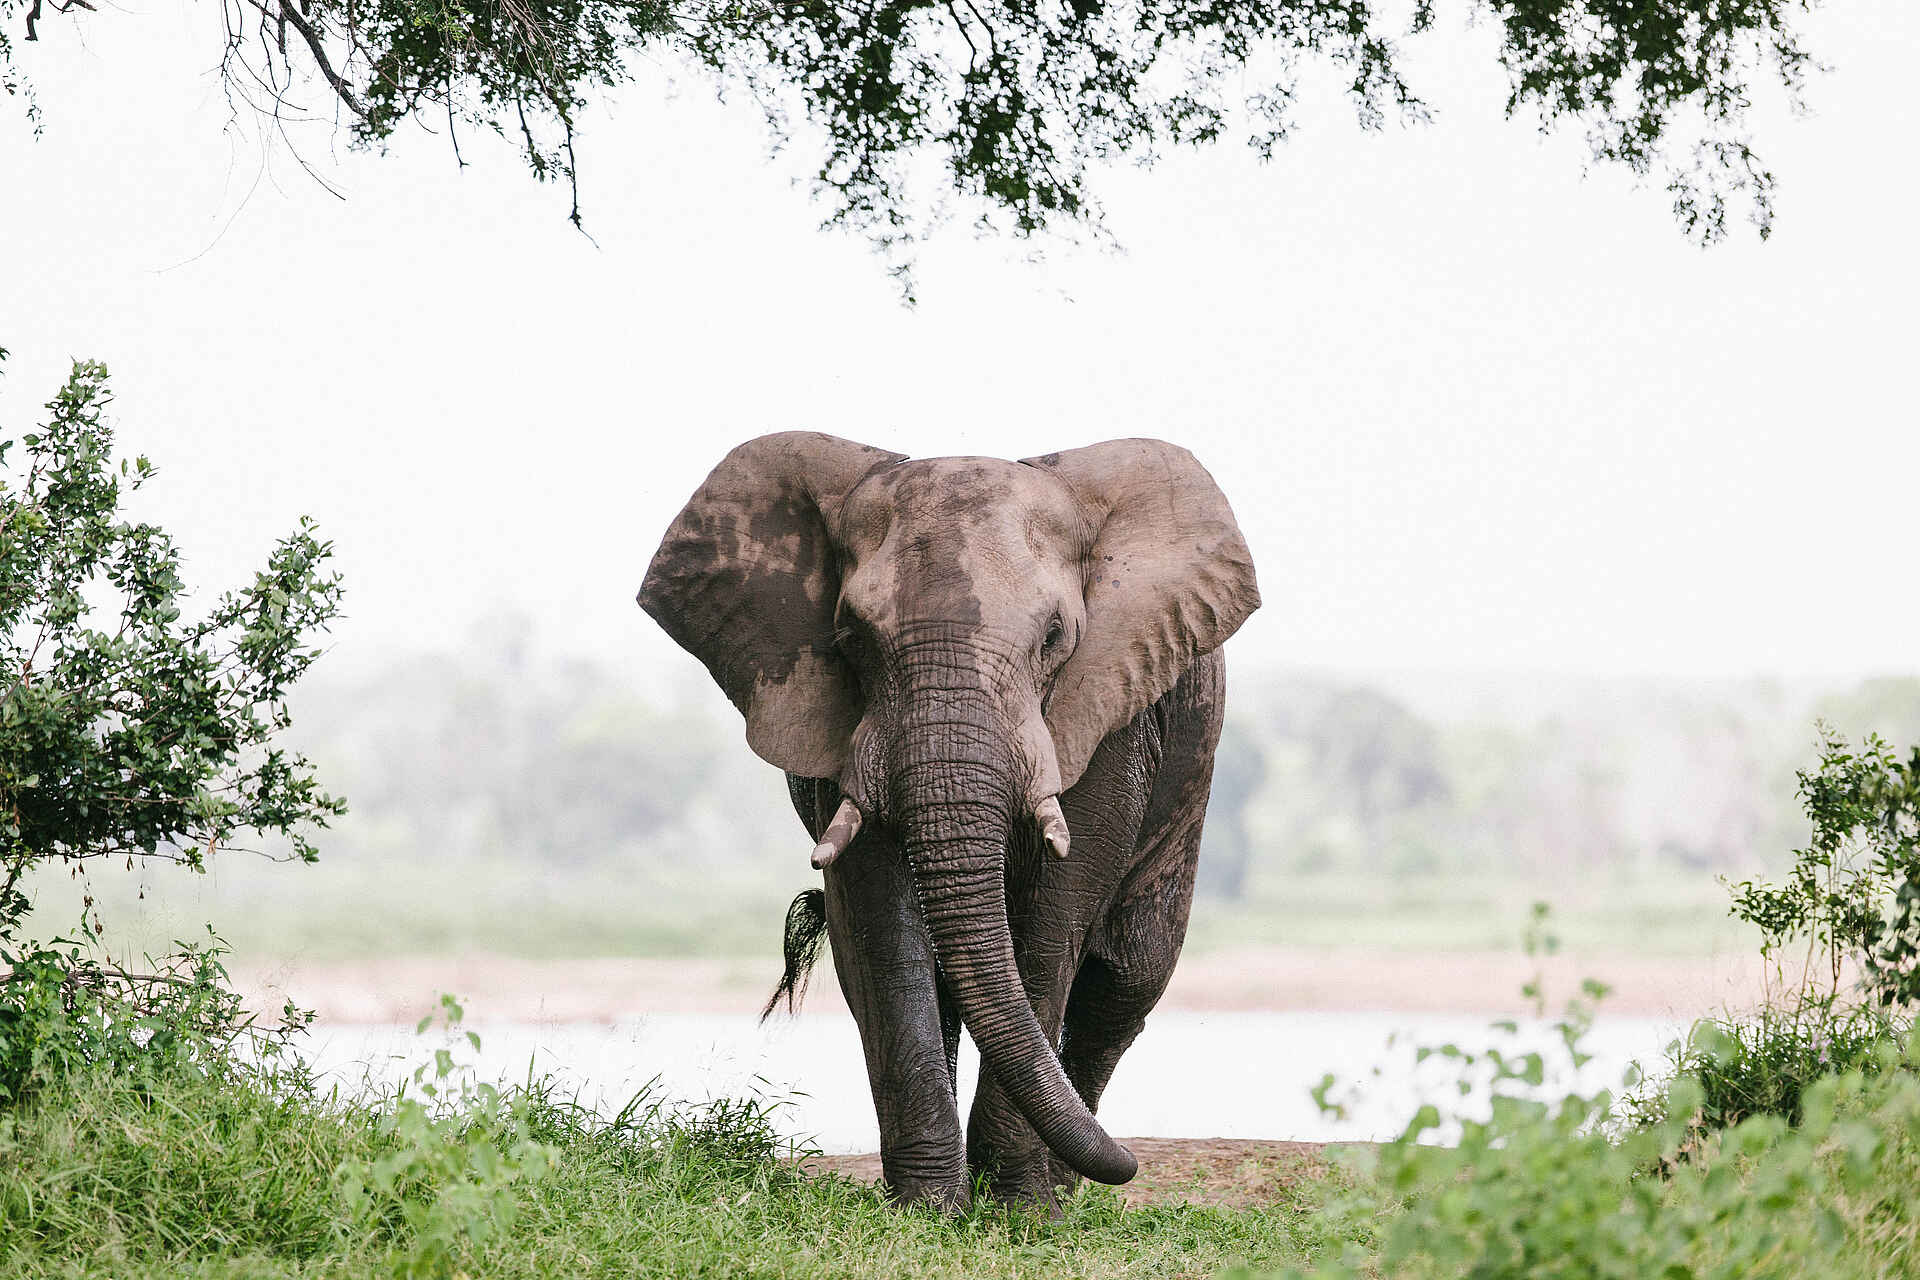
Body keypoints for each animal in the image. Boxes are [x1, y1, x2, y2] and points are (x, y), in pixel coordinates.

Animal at [637, 432, 1259, 1209]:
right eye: (851, 637)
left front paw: (1023, 1209)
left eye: (1055, 636)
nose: (1131, 1163)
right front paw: (929, 1209)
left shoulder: (1110, 705)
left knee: (1127, 976)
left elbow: (1055, 919)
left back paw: (1066, 1183)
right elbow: (878, 926)